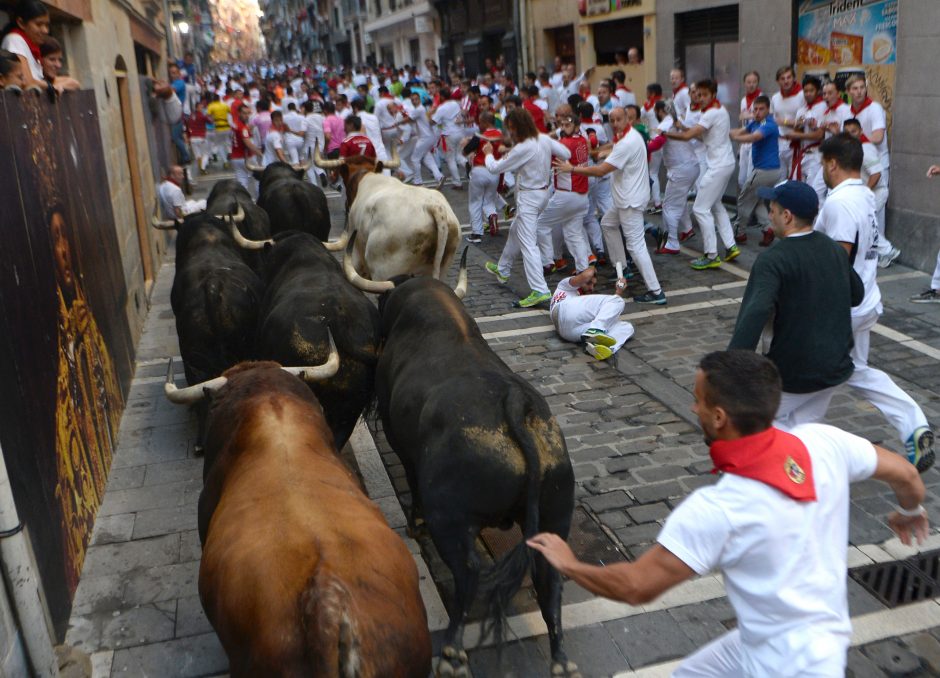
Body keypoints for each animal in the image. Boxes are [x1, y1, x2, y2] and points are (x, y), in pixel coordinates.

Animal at [374, 278, 580, 678]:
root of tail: (514, 402)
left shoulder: (396, 435)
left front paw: (414, 523)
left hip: (451, 516)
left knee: (468, 571)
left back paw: (453, 652)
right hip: (555, 514)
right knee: (550, 579)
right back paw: (562, 661)